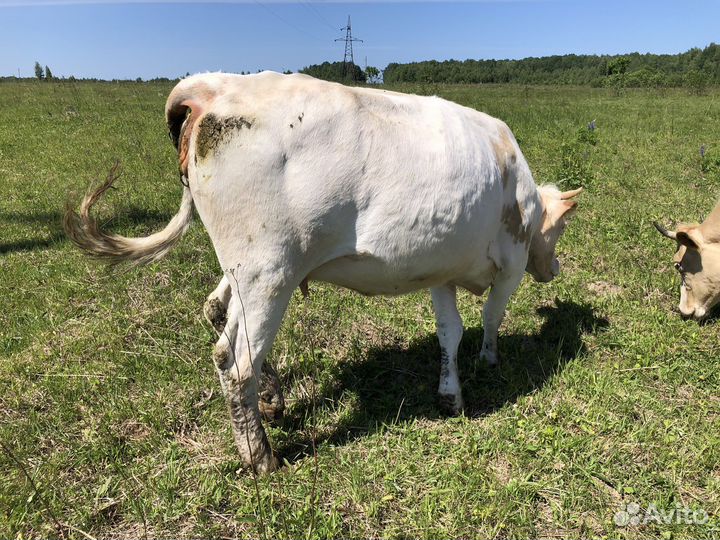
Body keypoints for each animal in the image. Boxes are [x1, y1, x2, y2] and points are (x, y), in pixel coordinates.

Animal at [64, 72, 582, 473]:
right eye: (559, 230)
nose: (553, 269)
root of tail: (216, 86)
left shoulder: (440, 269)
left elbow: (448, 332)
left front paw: (450, 393)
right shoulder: (512, 261)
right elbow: (492, 317)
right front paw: (489, 360)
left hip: (246, 270)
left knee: (216, 311)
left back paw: (272, 399)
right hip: (269, 271)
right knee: (235, 361)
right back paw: (261, 457)